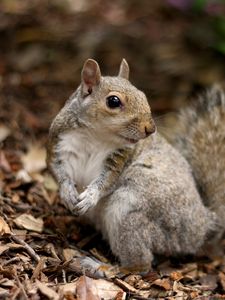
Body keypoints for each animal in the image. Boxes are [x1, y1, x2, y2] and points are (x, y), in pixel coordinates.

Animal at [46, 58, 224, 274]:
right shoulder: (59, 145)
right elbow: (58, 172)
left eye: (143, 95)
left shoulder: (119, 159)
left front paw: (90, 197)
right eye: (113, 101)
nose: (151, 129)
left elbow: (107, 181)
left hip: (129, 214)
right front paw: (67, 192)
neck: (95, 136)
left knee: (141, 265)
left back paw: (101, 267)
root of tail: (204, 225)